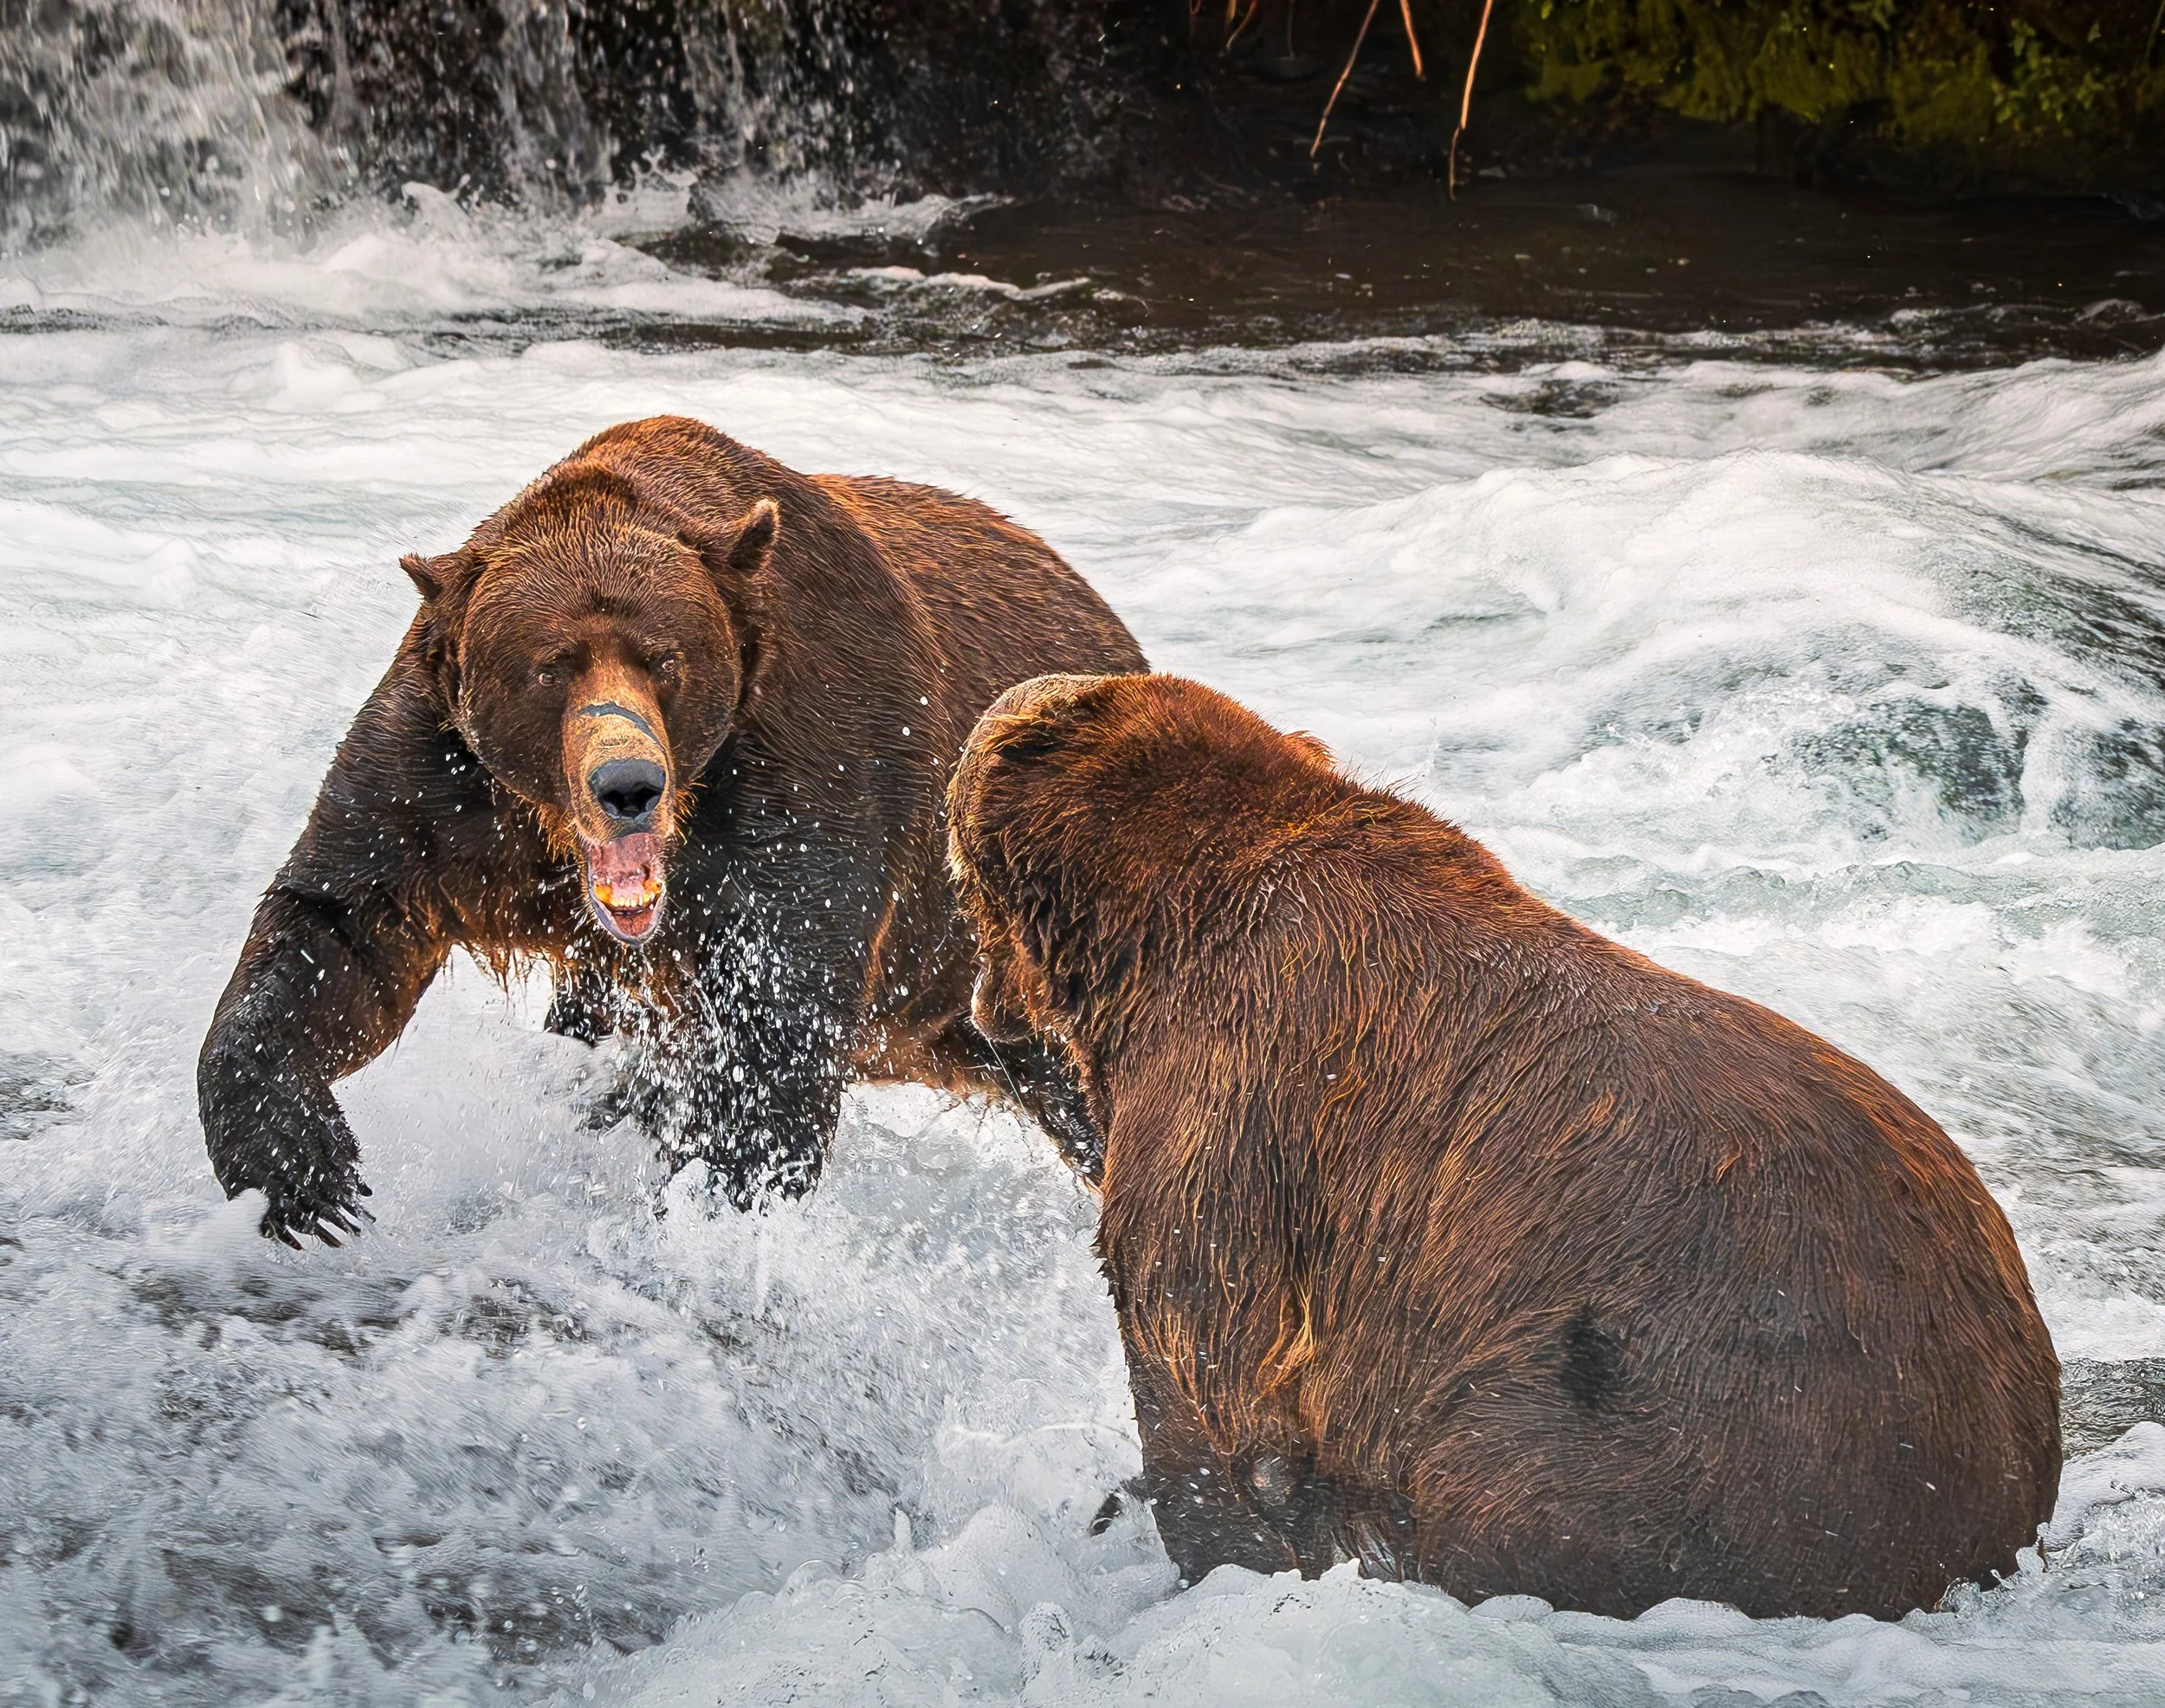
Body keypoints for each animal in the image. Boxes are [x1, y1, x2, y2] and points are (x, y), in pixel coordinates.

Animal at [198, 417, 1145, 1246]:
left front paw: (701, 1200)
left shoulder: (810, 766)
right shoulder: (448, 787)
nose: (627, 786)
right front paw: (307, 1176)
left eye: (663, 658)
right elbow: (341, 926)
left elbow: (771, 1035)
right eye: (550, 665)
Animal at [946, 671, 2061, 1621]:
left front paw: (1209, 1545)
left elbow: (1202, 1353)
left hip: (1684, 1423)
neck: (1158, 930)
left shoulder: (1234, 1099)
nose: (991, 707)